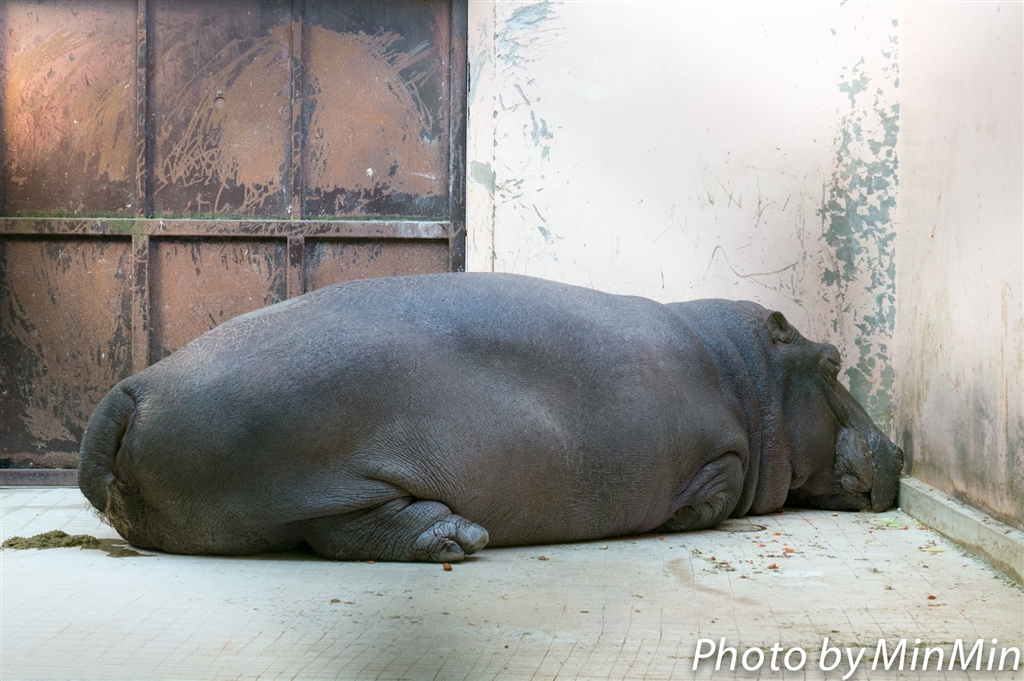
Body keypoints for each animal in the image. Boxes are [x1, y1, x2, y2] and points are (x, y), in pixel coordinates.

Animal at [78, 273, 903, 563]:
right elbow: (719, 489)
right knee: (342, 528)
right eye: (836, 361)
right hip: (313, 468)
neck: (746, 376)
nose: (898, 449)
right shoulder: (721, 452)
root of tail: (132, 388)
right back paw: (460, 538)